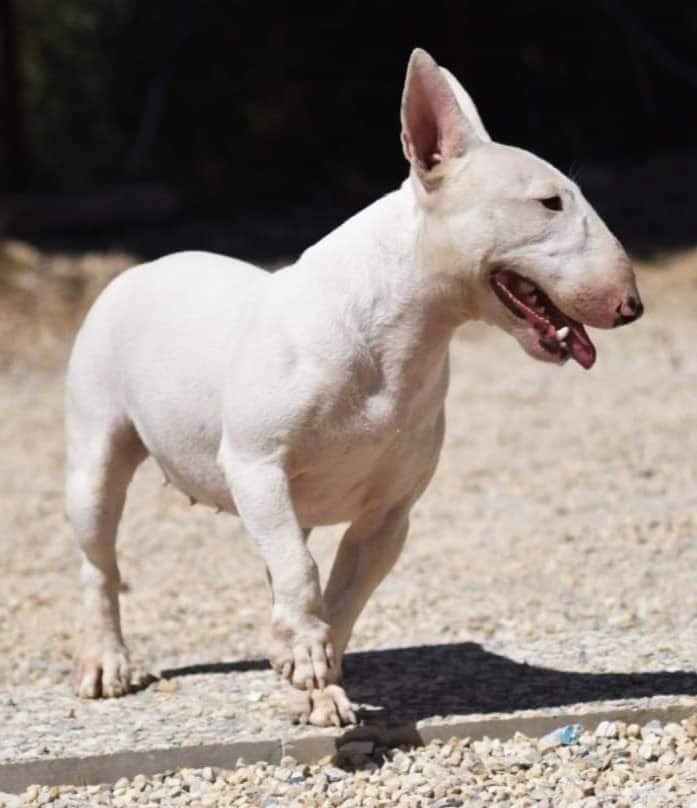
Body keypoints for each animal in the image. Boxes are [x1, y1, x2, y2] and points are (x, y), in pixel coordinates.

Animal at [65, 48, 642, 727]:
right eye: (550, 202)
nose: (631, 307)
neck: (396, 335)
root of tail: (142, 267)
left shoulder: (389, 514)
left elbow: (342, 599)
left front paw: (315, 681)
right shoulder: (256, 464)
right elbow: (302, 572)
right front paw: (308, 664)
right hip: (96, 450)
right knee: (100, 560)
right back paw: (106, 663)